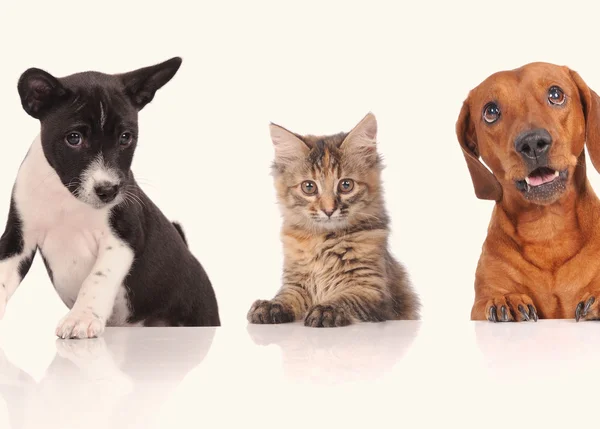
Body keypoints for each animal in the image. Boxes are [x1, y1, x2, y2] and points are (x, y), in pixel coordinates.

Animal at [0, 57, 220, 338]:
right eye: (74, 138)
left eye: (125, 138)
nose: (108, 190)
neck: (67, 199)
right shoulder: (18, 239)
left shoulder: (123, 236)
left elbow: (97, 278)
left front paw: (81, 317)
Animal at [246, 112, 420, 326]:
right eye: (309, 187)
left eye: (346, 185)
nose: (329, 210)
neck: (322, 241)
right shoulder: (296, 282)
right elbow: (287, 296)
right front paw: (271, 305)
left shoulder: (371, 288)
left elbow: (346, 299)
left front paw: (326, 310)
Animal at [458, 61, 600, 320]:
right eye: (491, 111)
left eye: (556, 94)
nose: (532, 142)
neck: (548, 231)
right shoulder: (479, 303)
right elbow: (491, 299)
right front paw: (507, 299)